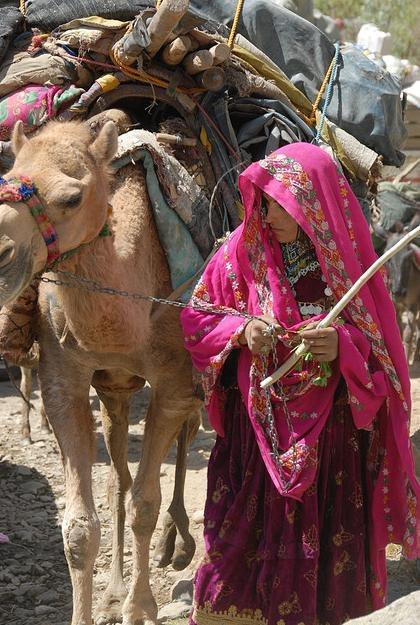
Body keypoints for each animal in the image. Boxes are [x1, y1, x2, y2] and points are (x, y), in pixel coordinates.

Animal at [0, 118, 202, 624]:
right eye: (4, 178)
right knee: (118, 476)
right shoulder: (63, 379)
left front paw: (141, 607)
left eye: (72, 197)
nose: (2, 255)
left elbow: (145, 504)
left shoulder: (174, 381)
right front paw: (103, 605)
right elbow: (78, 526)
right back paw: (119, 587)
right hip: (115, 389)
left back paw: (181, 545)